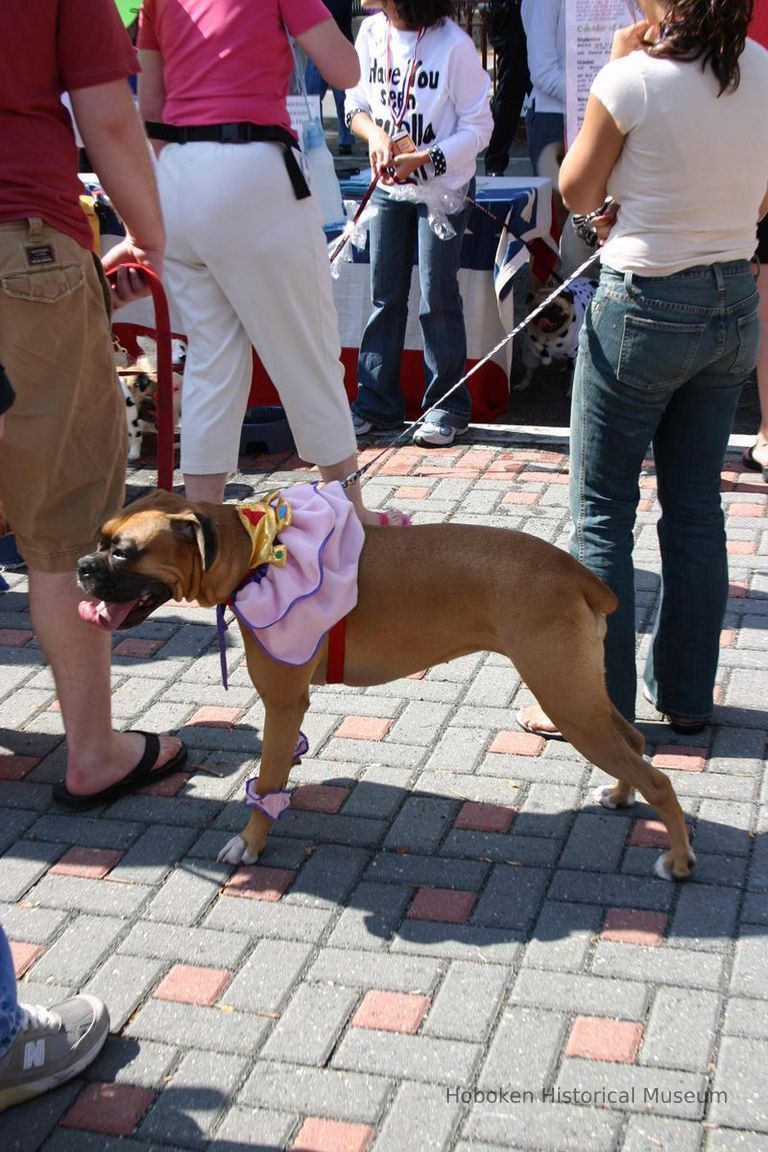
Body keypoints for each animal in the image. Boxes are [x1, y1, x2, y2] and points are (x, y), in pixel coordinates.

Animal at [76, 486, 695, 880]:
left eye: (125, 553)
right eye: (100, 538)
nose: (82, 566)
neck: (254, 550)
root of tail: (577, 573)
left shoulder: (283, 704)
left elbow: (267, 781)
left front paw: (250, 843)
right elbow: (278, 767)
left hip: (566, 698)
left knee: (659, 778)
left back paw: (680, 861)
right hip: (581, 693)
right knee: (635, 743)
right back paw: (620, 795)